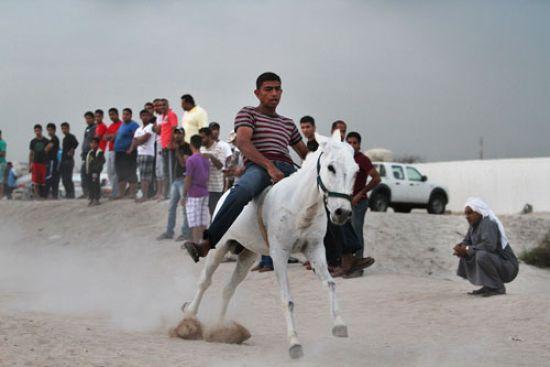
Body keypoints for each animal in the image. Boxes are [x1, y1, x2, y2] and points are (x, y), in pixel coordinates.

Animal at [181, 132, 360, 360]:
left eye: (356, 171)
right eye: (331, 168)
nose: (342, 213)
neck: (300, 206)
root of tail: (226, 192)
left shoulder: (316, 249)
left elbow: (330, 284)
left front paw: (339, 325)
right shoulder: (279, 253)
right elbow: (287, 299)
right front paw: (294, 344)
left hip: (247, 255)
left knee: (228, 288)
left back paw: (222, 329)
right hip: (219, 248)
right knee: (205, 281)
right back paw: (189, 320)